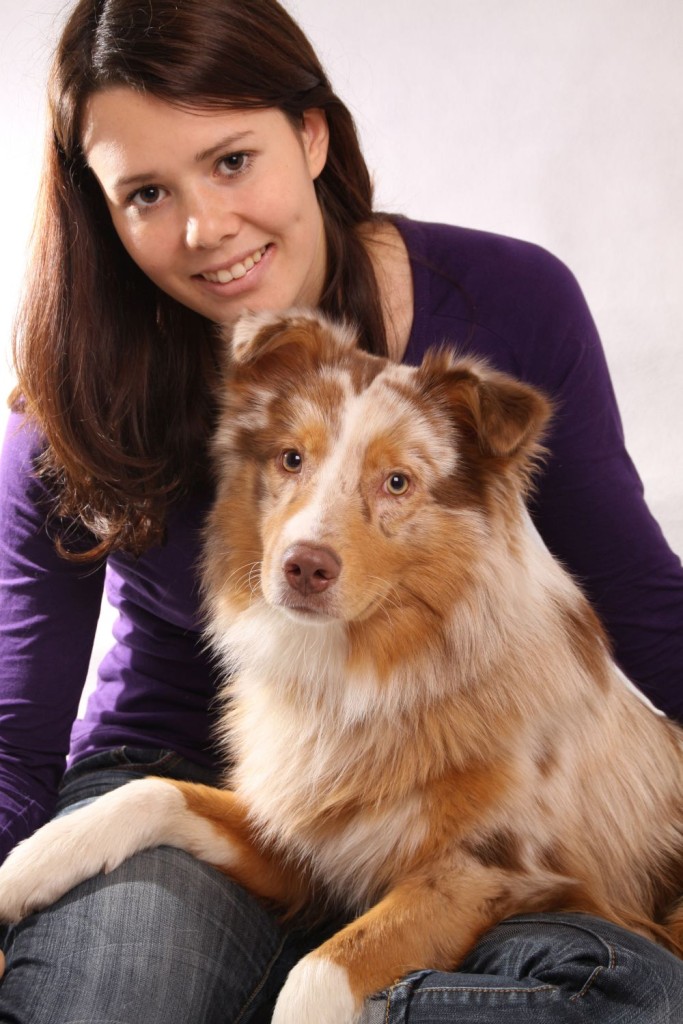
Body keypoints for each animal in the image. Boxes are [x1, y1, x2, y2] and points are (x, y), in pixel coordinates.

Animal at [1, 313, 683, 1024]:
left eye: (397, 482)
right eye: (291, 459)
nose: (304, 565)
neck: (357, 673)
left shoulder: (488, 872)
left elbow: (317, 972)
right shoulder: (301, 841)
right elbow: (155, 790)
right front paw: (28, 865)